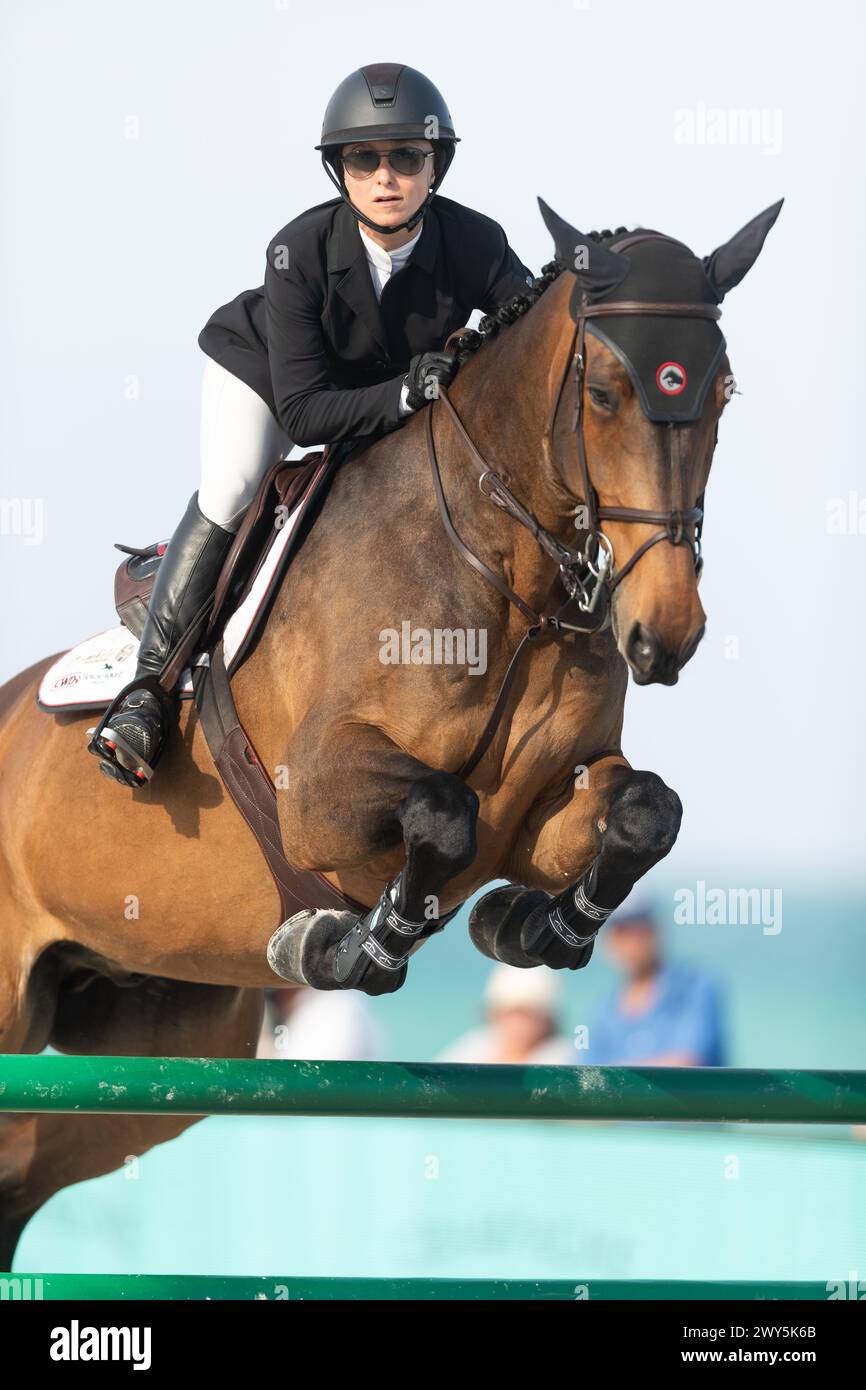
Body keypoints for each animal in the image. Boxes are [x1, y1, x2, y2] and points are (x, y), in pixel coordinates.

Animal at [0, 198, 783, 1273]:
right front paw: (342, 945)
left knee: (23, 1171)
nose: (665, 635)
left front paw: (533, 926)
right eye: (608, 393)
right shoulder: (319, 794)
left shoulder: (541, 811)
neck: (505, 579)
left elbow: (641, 813)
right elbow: (441, 816)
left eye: (723, 395)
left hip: (152, 1044)